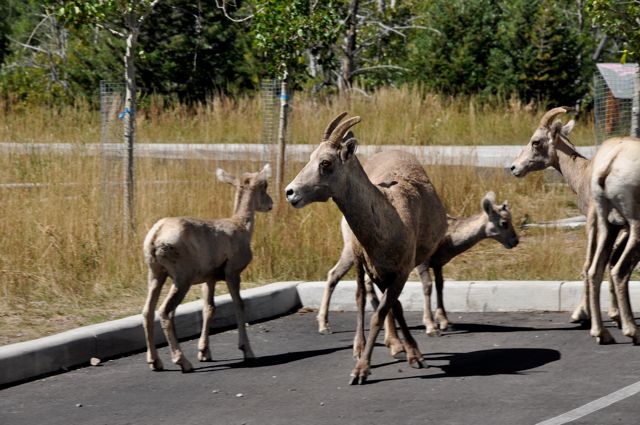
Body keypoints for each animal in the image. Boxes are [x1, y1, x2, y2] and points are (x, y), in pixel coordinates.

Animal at [142, 164, 272, 370]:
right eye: (264, 186)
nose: (270, 204)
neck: (241, 227)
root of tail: (156, 236)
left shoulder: (209, 279)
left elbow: (209, 309)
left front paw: (204, 353)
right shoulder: (232, 273)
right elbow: (239, 305)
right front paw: (248, 352)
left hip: (155, 275)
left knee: (147, 311)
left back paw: (155, 362)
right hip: (182, 279)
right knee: (165, 311)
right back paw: (183, 362)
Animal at [316, 191, 520, 334]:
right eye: (503, 222)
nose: (515, 241)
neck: (450, 238)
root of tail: (344, 220)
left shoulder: (437, 264)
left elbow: (440, 286)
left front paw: (445, 322)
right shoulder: (423, 263)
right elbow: (427, 286)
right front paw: (431, 326)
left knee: (366, 282)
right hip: (350, 253)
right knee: (333, 275)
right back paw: (324, 326)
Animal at [584, 137, 640, 344]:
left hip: (608, 226)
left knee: (595, 270)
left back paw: (602, 333)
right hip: (635, 226)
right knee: (619, 271)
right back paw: (632, 331)